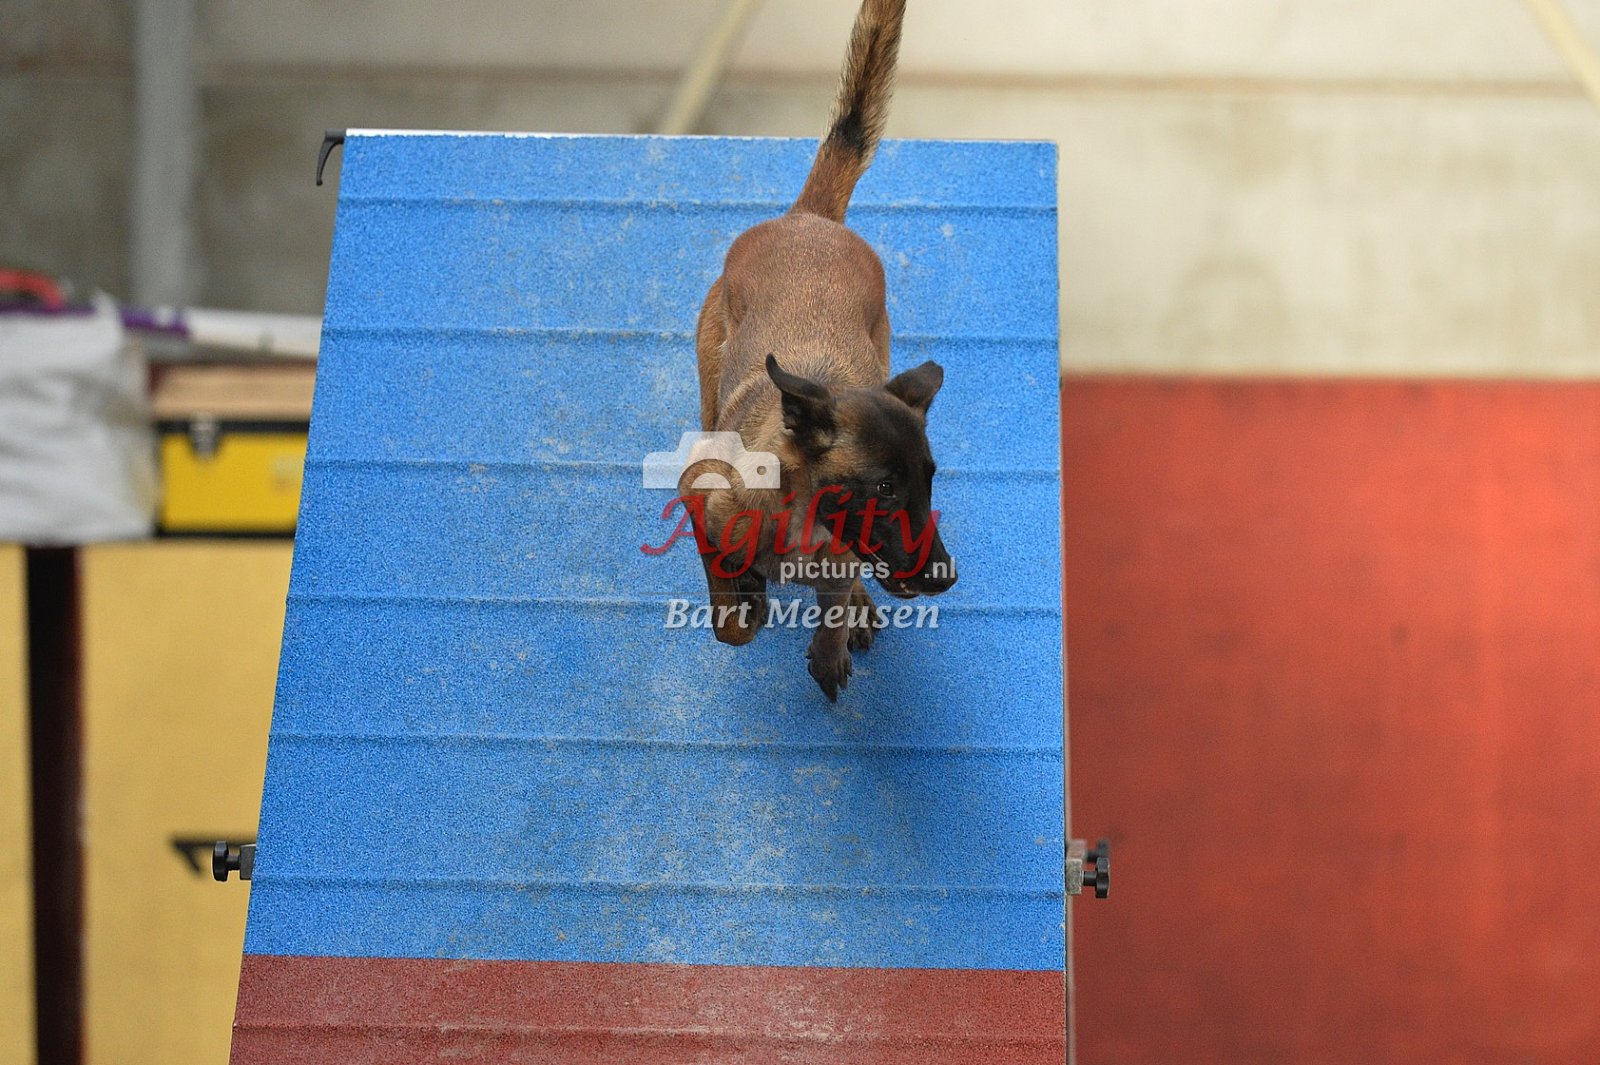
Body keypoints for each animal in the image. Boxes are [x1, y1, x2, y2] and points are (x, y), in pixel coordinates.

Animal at [688, 0, 956, 701]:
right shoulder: (701, 500)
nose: (945, 579)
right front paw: (745, 602)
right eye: (883, 489)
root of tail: (808, 219)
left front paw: (832, 640)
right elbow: (729, 614)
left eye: (929, 479)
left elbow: (834, 600)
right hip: (707, 380)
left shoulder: (838, 564)